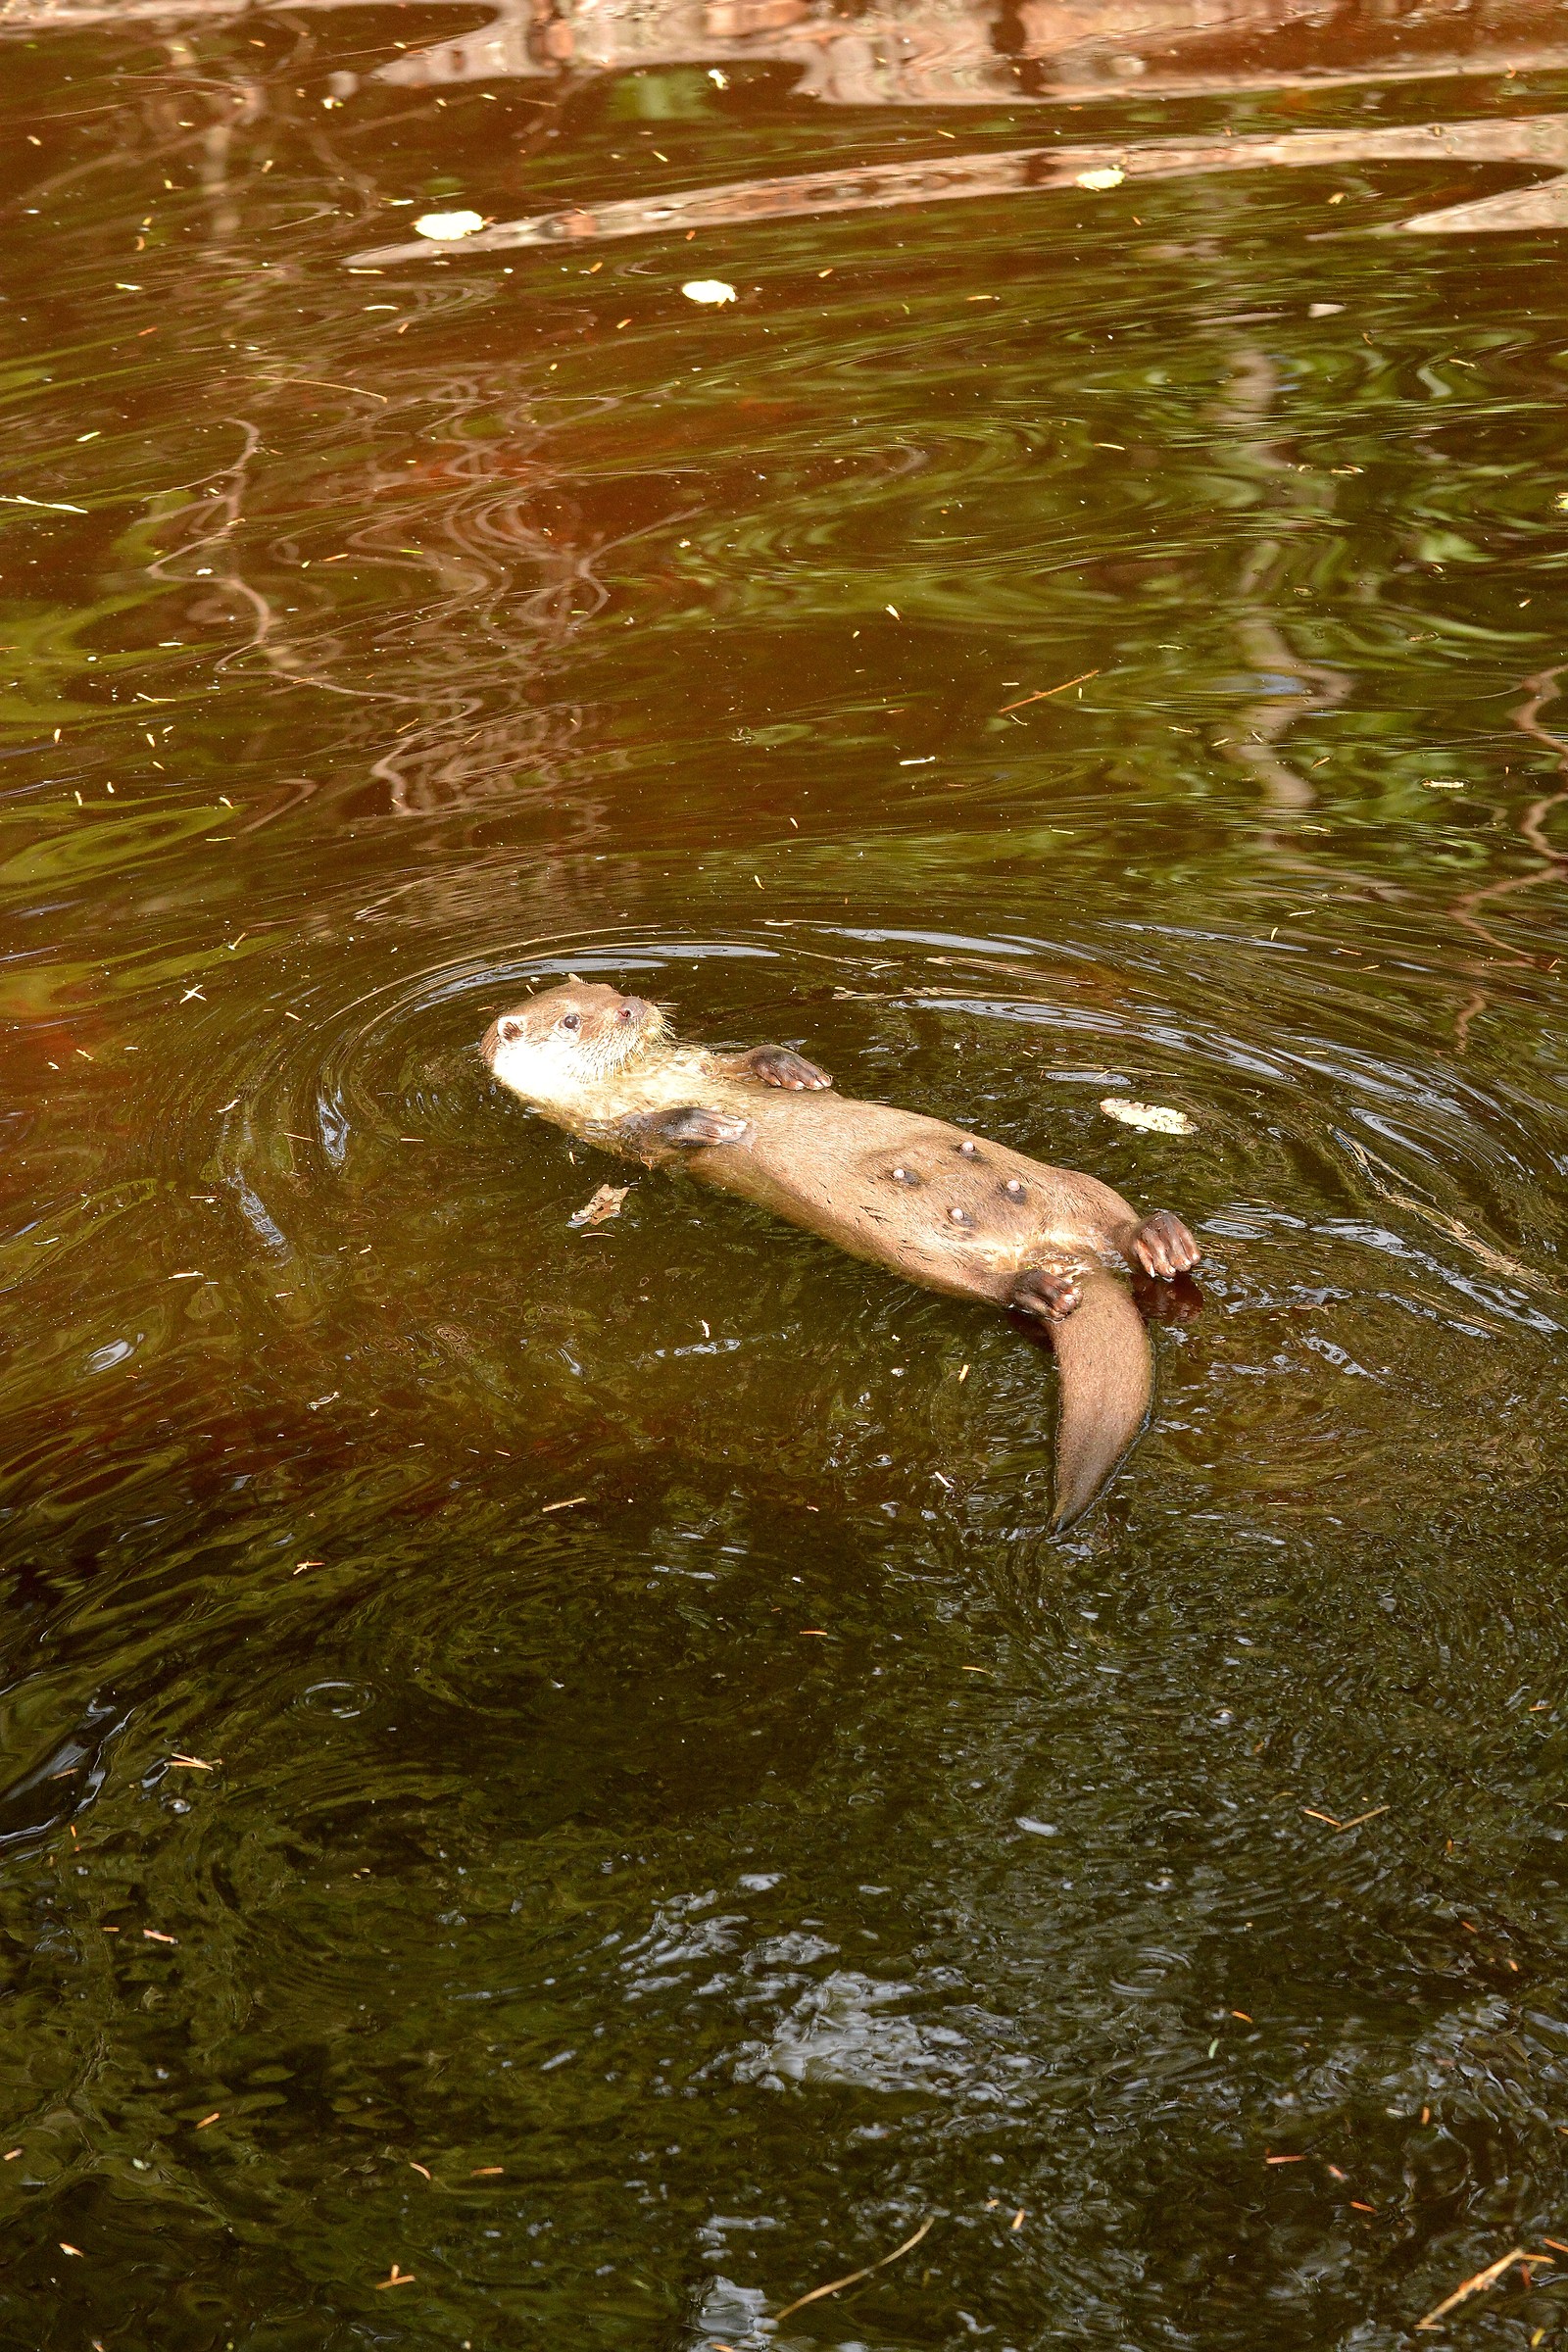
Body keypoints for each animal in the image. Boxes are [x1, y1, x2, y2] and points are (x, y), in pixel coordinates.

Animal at [480, 982, 1200, 1528]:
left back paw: (1161, 1239)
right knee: (992, 1284)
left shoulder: (701, 1064)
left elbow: (742, 1061)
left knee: (1112, 1215)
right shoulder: (597, 1129)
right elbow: (647, 1138)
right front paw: (701, 1124)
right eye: (572, 1019)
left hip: (1070, 1187)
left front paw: (790, 1068)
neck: (647, 1080)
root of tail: (1059, 1252)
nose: (633, 1006)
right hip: (919, 1252)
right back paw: (1044, 1287)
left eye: (611, 989)